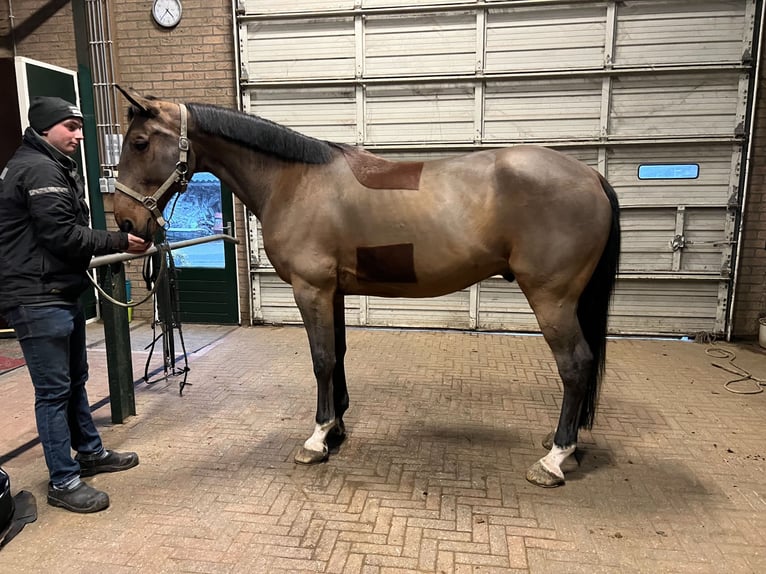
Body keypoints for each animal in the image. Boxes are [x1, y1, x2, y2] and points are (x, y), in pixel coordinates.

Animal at [112, 88, 616, 488]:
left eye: (139, 142)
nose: (126, 222)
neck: (294, 180)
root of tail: (592, 176)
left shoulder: (310, 289)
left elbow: (320, 360)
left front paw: (317, 438)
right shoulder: (331, 292)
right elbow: (337, 356)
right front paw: (336, 429)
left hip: (552, 299)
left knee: (576, 366)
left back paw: (554, 460)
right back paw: (565, 446)